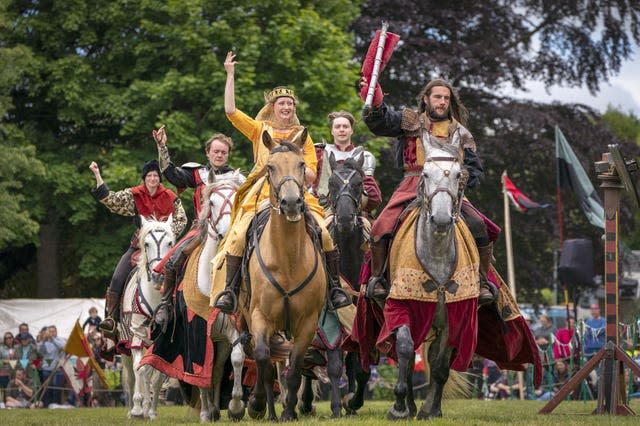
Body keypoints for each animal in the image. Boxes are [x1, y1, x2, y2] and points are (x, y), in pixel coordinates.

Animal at [119, 216, 174, 420]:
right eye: (147, 243)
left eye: (170, 243)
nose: (159, 276)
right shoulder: (136, 336)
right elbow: (139, 369)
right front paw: (137, 408)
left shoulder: (161, 341)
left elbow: (156, 376)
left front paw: (151, 410)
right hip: (123, 346)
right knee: (130, 376)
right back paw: (133, 409)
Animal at [242, 128, 328, 422]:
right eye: (271, 167)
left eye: (301, 165)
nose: (291, 203)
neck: (288, 259)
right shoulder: (260, 317)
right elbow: (262, 359)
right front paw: (256, 404)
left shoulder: (307, 324)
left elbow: (294, 371)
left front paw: (290, 411)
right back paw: (267, 410)